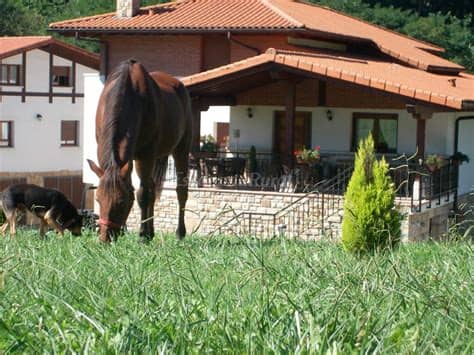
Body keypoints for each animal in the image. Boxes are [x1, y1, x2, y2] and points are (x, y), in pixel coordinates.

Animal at [88, 60, 192, 245]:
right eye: (98, 199)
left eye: (122, 202)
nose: (105, 239)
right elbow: (146, 192)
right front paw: (146, 233)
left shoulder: (145, 155)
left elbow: (142, 194)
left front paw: (142, 235)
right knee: (152, 188)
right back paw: (151, 232)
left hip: (181, 148)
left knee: (180, 190)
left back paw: (179, 233)